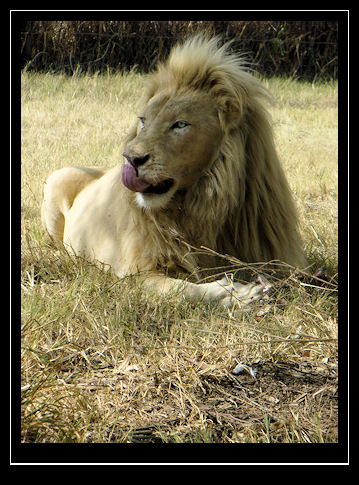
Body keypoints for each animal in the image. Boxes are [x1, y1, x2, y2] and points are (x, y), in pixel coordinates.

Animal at [41, 35, 306, 306]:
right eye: (143, 121)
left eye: (180, 124)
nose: (130, 159)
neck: (203, 206)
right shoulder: (133, 274)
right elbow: (184, 290)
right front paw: (237, 294)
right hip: (56, 183)